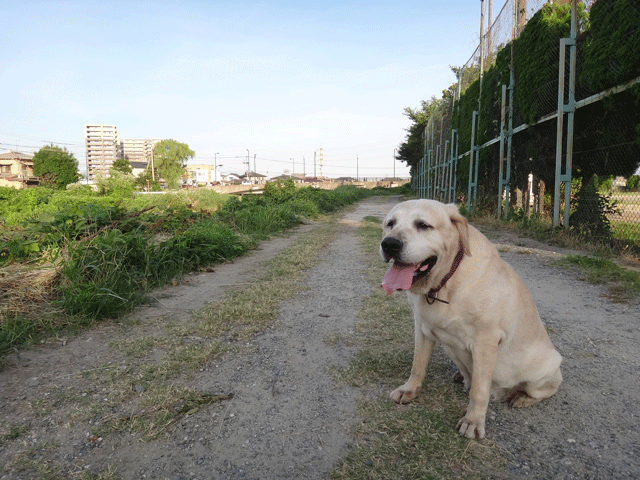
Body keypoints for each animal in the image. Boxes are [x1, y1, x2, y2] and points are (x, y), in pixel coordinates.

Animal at [380, 199, 560, 438]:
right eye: (390, 223)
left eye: (423, 225)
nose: (389, 244)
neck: (446, 281)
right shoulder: (422, 328)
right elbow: (417, 366)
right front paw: (409, 390)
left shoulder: (486, 342)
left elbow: (479, 390)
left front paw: (473, 421)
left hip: (549, 364)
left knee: (545, 389)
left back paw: (522, 397)